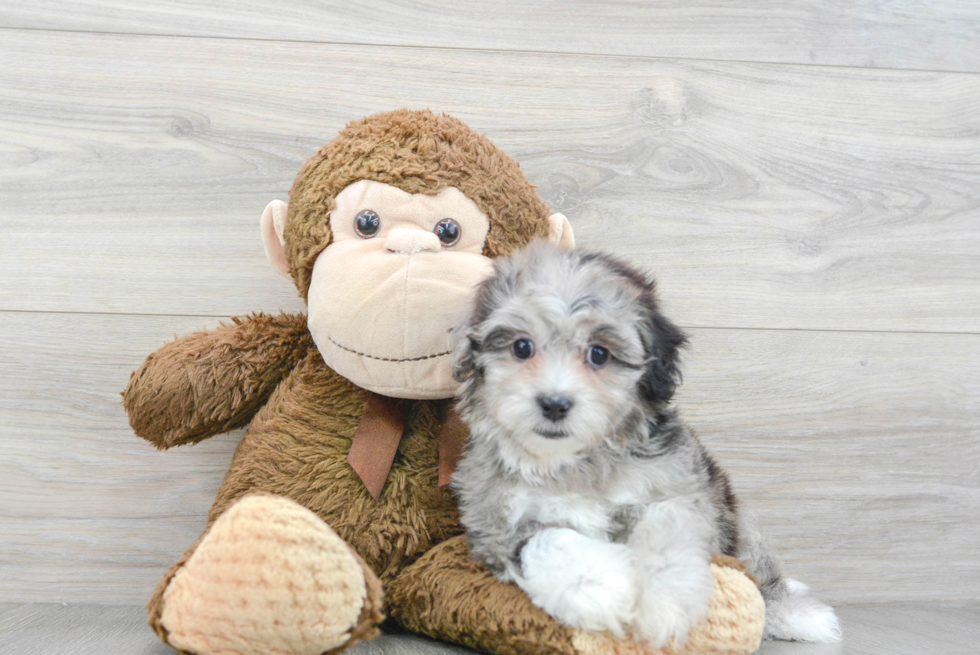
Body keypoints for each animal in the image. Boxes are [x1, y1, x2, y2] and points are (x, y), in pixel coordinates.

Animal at [448, 243, 840, 648]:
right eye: (522, 347)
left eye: (599, 354)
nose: (555, 403)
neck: (573, 462)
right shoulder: (493, 521)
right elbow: (548, 540)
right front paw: (601, 589)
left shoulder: (675, 487)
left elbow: (666, 532)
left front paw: (663, 604)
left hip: (734, 517)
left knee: (760, 574)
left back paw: (799, 615)